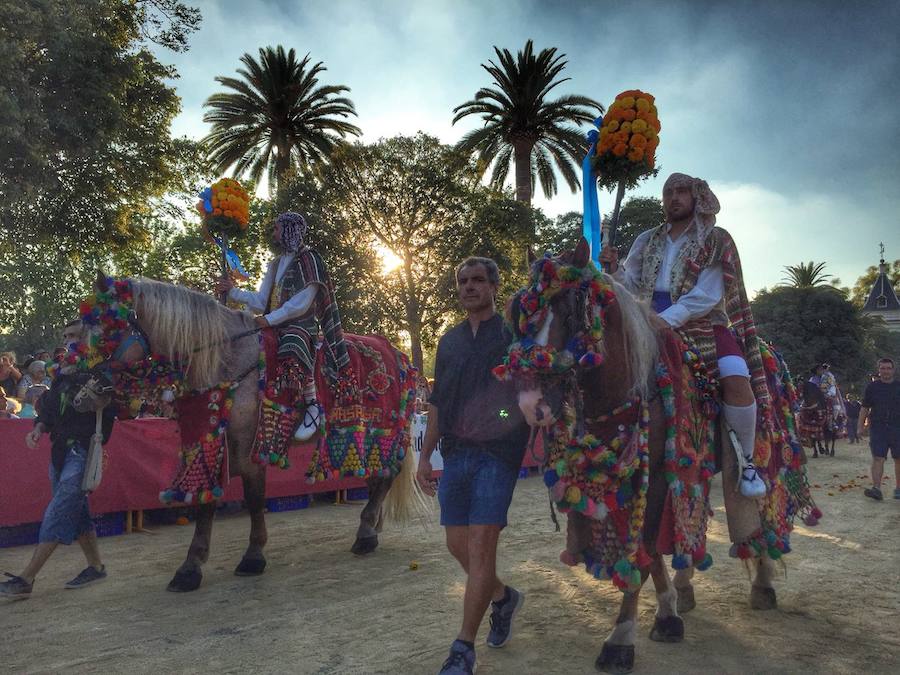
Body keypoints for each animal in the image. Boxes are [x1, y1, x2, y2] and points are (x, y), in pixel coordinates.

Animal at [71, 274, 422, 592]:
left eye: (107, 330)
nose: (84, 394)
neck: (224, 360)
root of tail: (397, 353)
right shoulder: (208, 439)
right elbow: (206, 502)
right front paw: (190, 568)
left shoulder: (249, 447)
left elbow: (253, 500)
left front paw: (252, 556)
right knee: (378, 478)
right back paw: (372, 527)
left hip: (386, 430)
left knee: (386, 477)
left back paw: (365, 534)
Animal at [496, 242, 820, 672]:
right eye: (521, 316)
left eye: (571, 311)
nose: (532, 404)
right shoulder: (631, 480)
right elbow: (649, 553)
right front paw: (667, 611)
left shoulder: (656, 479)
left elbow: (644, 551)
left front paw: (621, 639)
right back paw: (685, 588)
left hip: (766, 450)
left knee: (764, 512)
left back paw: (763, 581)